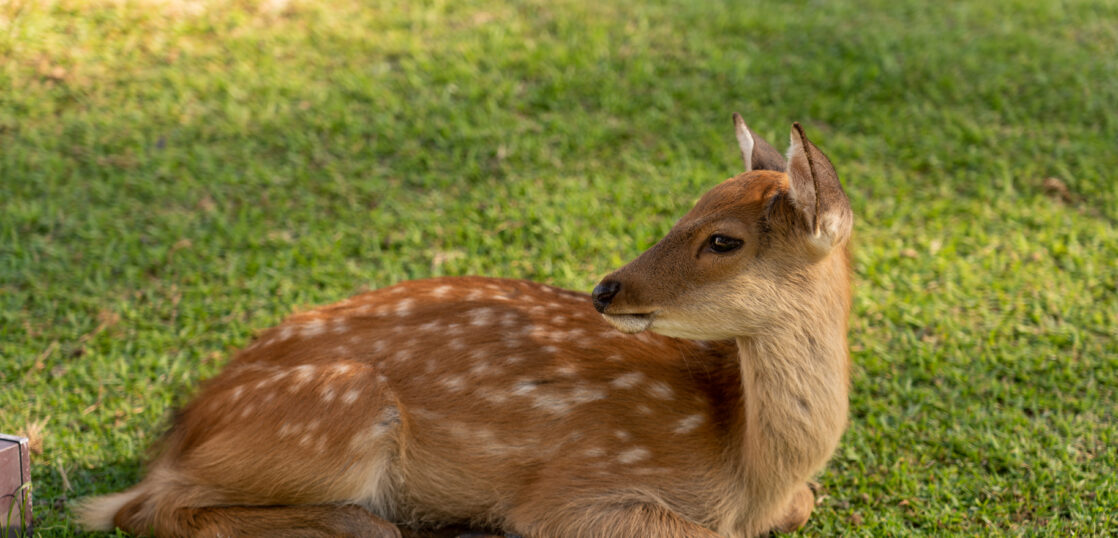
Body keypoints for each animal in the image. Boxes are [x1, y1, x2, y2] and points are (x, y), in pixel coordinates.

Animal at [81, 115, 854, 534]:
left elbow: (805, 505)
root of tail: (178, 436)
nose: (606, 289)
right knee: (146, 509)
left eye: (723, 238)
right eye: (685, 209)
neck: (748, 470)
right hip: (340, 411)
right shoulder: (576, 489)